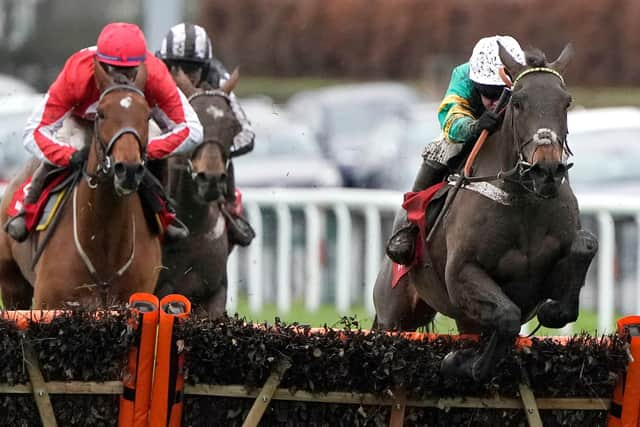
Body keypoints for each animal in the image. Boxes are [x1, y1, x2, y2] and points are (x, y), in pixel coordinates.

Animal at [372, 45, 596, 382]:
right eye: (517, 102)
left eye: (566, 101)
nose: (547, 170)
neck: (523, 200)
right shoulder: (462, 275)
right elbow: (507, 317)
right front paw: (463, 362)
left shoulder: (544, 281)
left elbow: (585, 249)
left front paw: (551, 311)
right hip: (394, 311)